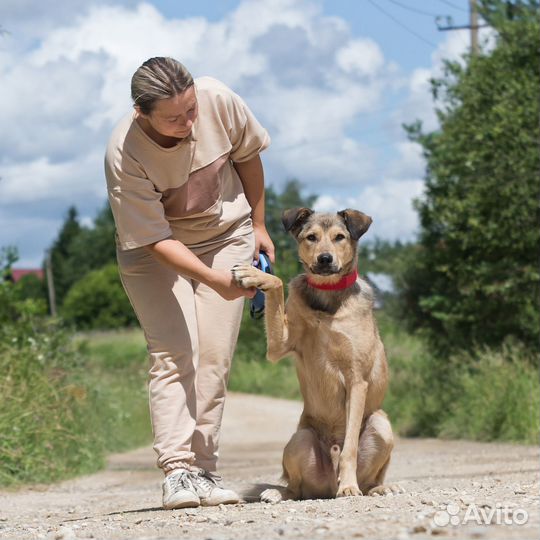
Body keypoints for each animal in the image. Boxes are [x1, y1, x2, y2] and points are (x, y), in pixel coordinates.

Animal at [230, 208, 402, 502]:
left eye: (339, 237)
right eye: (311, 237)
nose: (324, 258)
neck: (326, 296)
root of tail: (327, 487)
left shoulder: (357, 380)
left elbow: (350, 448)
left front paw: (349, 486)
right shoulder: (278, 347)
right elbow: (278, 286)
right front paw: (256, 274)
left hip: (381, 423)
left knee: (369, 478)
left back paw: (376, 487)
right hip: (300, 439)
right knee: (295, 489)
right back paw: (276, 493)